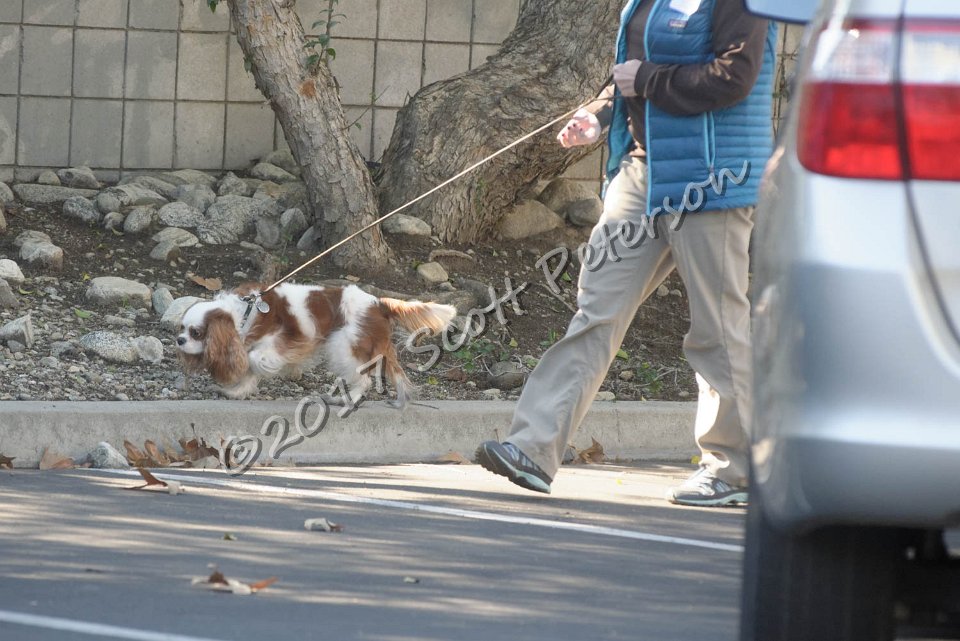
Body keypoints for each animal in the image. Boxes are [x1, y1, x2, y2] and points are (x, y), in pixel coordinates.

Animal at [175, 282, 456, 405]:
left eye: (196, 333)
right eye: (181, 329)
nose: (179, 340)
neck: (242, 315)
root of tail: (378, 303)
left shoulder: (284, 342)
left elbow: (255, 361)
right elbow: (249, 371)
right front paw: (237, 392)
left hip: (345, 346)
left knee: (364, 379)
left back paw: (346, 399)